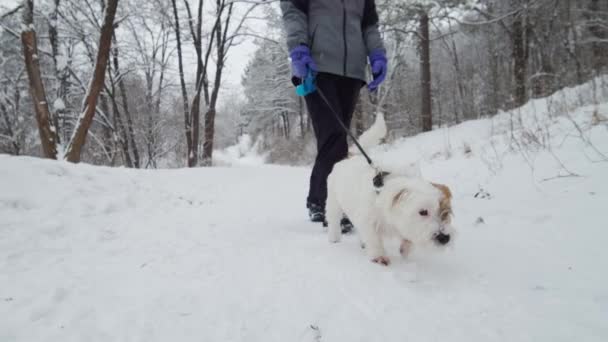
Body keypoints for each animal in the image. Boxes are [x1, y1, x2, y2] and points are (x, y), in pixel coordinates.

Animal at [328, 113, 452, 266]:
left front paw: (406, 247)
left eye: (446, 212)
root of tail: (351, 157)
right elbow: (374, 239)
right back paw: (334, 238)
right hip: (333, 203)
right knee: (333, 220)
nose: (444, 238)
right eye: (423, 212)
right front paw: (379, 256)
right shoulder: (367, 221)